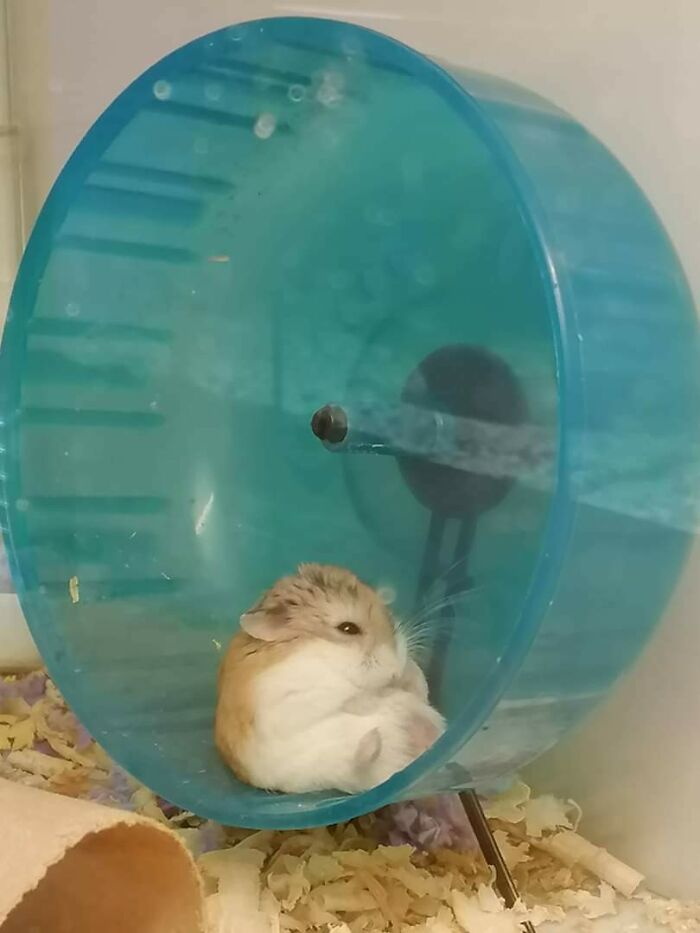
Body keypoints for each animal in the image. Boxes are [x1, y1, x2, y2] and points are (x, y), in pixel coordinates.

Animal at [215, 563, 445, 795]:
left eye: (387, 612)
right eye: (348, 628)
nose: (396, 671)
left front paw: (408, 676)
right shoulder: (288, 702)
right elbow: (351, 698)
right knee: (356, 764)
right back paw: (373, 739)